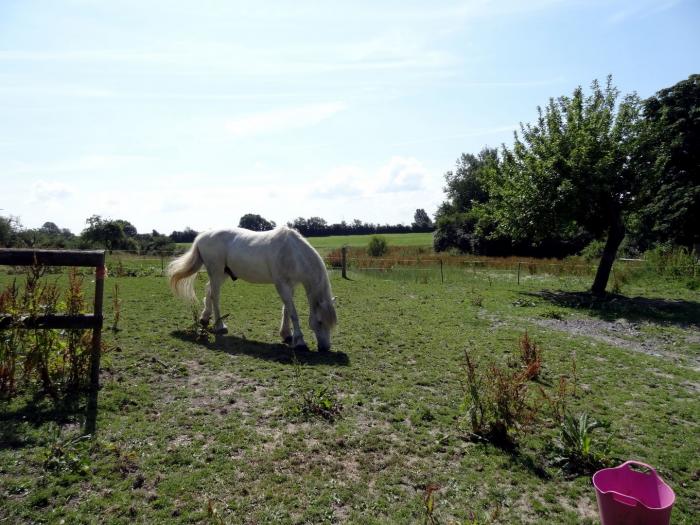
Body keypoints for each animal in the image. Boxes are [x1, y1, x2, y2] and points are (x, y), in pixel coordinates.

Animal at [167, 226, 336, 352]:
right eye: (320, 322)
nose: (325, 348)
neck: (292, 252)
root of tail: (202, 236)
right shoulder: (281, 284)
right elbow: (293, 313)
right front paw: (300, 341)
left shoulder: (291, 285)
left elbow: (286, 310)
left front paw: (287, 335)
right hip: (216, 271)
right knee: (215, 295)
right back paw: (220, 326)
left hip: (223, 274)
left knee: (209, 290)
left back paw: (204, 318)